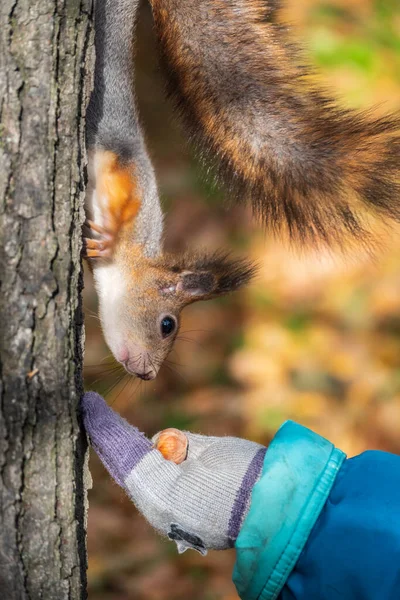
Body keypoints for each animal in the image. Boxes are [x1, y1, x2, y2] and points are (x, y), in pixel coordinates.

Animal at [83, 1, 398, 380]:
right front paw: (109, 235)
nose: (149, 375)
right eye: (167, 325)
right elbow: (125, 187)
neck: (131, 263)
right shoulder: (130, 167)